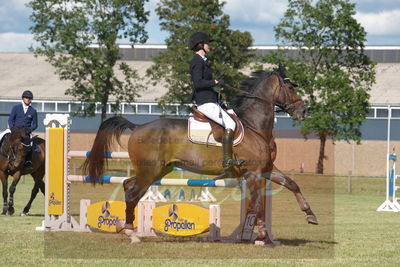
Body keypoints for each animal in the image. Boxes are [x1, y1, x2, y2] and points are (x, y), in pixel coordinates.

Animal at [84, 70, 318, 246]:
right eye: (290, 88)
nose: (303, 111)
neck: (254, 126)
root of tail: (138, 126)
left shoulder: (267, 169)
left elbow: (292, 184)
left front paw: (310, 215)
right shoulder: (253, 173)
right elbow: (258, 204)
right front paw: (262, 237)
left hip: (157, 171)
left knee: (128, 185)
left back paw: (125, 226)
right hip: (150, 170)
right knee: (132, 192)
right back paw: (131, 233)